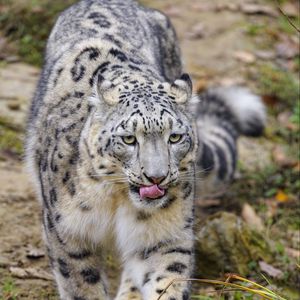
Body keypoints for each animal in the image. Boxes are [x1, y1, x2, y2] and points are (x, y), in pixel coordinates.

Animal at [25, 0, 264, 300]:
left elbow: (167, 278)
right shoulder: (68, 233)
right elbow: (82, 286)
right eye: (129, 139)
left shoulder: (167, 235)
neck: (116, 200)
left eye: (175, 137)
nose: (156, 177)